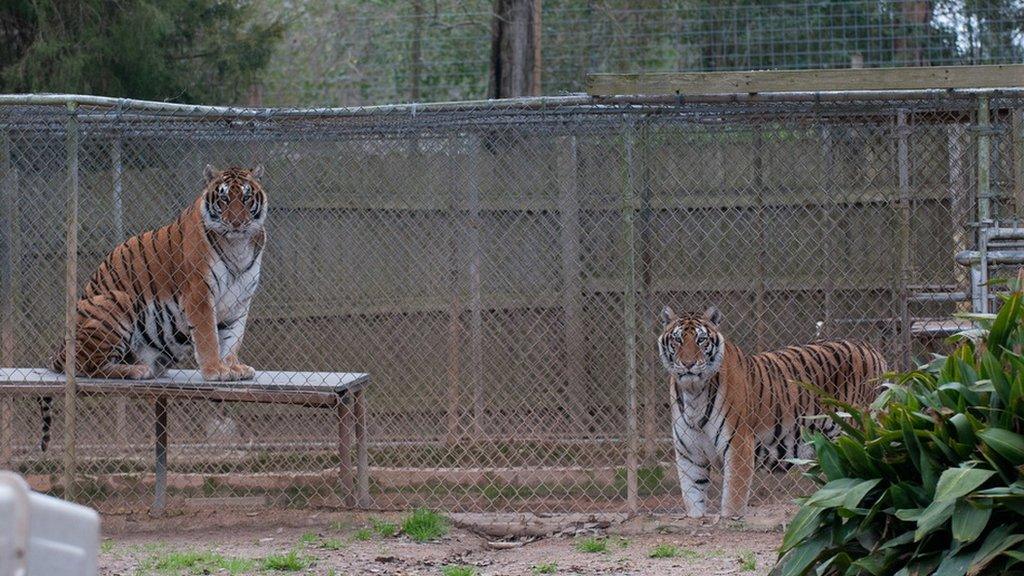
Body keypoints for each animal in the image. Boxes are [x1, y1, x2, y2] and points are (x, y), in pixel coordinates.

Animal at [42, 163, 270, 450]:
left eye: (247, 198)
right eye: (225, 199)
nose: (237, 223)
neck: (238, 245)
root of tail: (58, 348)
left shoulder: (240, 301)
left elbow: (233, 338)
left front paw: (233, 367)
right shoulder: (198, 293)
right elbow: (208, 337)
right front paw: (215, 370)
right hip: (116, 302)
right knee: (86, 367)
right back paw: (137, 370)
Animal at [655, 307, 888, 518]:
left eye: (701, 340)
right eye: (677, 340)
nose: (688, 364)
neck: (693, 393)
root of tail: (871, 349)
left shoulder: (739, 445)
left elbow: (733, 501)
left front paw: (730, 518)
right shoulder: (689, 455)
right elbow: (693, 499)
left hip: (858, 437)